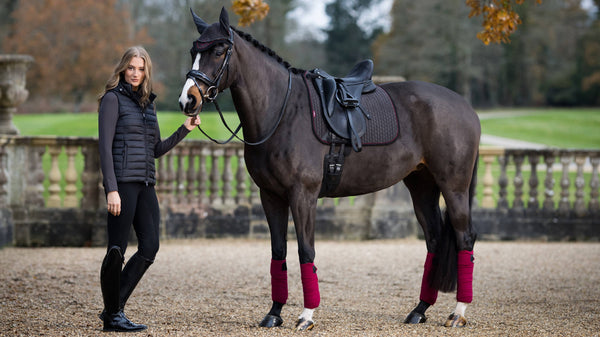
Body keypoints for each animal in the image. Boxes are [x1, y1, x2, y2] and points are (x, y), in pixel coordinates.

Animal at [177, 7, 478, 328]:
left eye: (219, 50)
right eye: (193, 51)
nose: (188, 100)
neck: (282, 112)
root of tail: (465, 107)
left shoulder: (303, 196)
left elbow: (305, 250)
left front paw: (306, 315)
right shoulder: (270, 196)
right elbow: (279, 252)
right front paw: (274, 313)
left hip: (454, 187)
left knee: (464, 238)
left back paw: (458, 312)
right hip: (422, 186)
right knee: (434, 240)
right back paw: (420, 310)